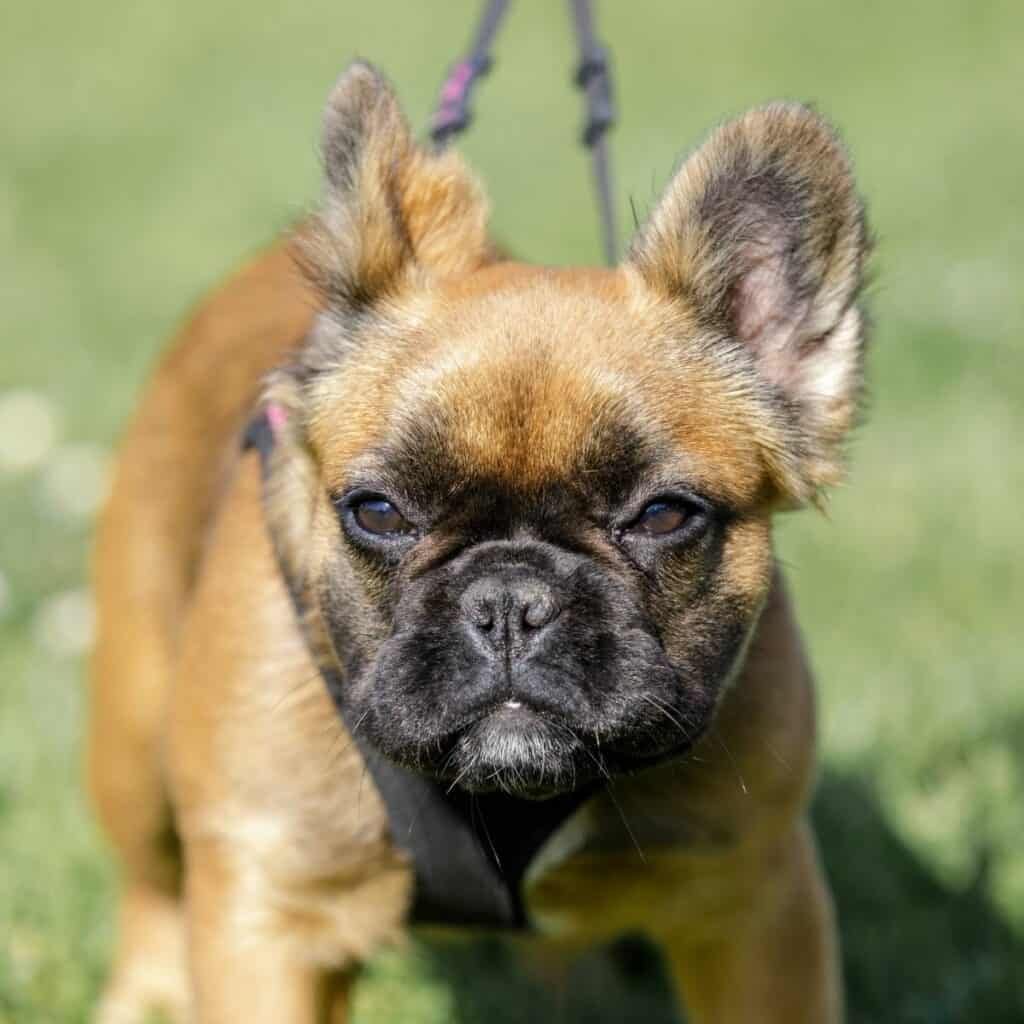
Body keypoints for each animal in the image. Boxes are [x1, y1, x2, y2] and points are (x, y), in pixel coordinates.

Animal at [90, 59, 872, 1019]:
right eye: (378, 512)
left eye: (662, 515)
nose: (508, 600)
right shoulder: (268, 916)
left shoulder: (752, 901)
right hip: (133, 738)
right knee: (151, 882)